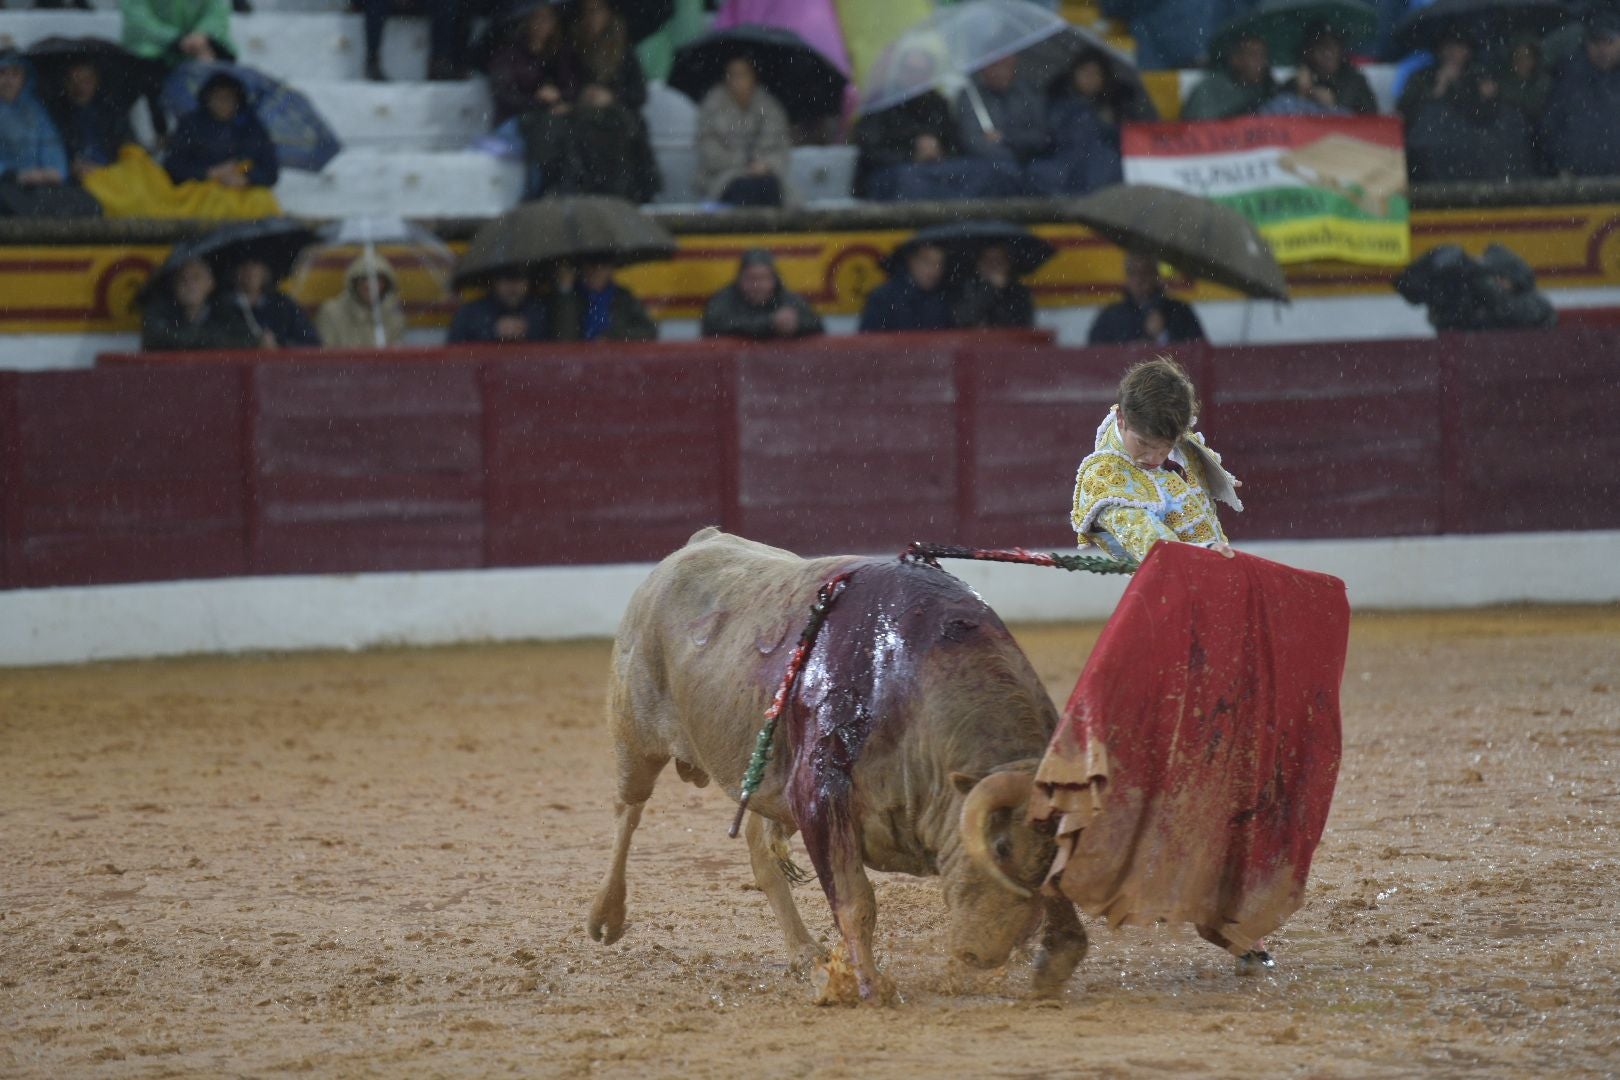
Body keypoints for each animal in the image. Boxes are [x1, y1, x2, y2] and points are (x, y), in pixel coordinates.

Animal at [586, 531, 1088, 1003]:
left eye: (1050, 860)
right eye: (998, 847)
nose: (982, 954)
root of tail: (700, 541)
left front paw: (1056, 958)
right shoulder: (820, 797)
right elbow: (855, 901)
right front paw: (867, 985)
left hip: (765, 776)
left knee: (759, 850)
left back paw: (805, 953)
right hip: (635, 736)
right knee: (627, 812)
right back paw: (605, 915)